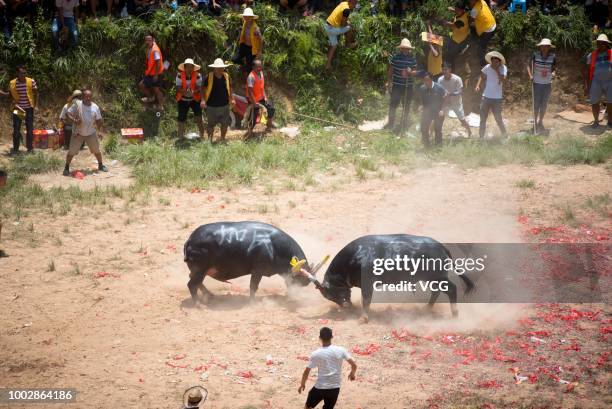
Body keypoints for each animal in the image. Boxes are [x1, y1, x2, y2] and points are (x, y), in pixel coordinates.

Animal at [308, 234, 476, 320]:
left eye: (332, 293)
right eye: (329, 297)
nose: (345, 305)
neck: (355, 256)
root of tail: (441, 246)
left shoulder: (368, 284)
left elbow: (366, 300)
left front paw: (363, 318)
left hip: (436, 277)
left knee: (451, 289)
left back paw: (454, 315)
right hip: (432, 278)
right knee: (437, 291)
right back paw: (426, 309)